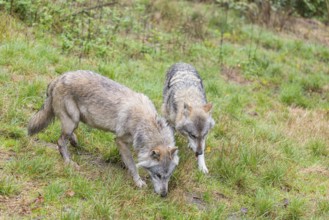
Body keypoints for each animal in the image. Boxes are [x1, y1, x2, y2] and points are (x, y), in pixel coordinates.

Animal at [26, 71, 178, 198]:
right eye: (158, 175)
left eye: (169, 176)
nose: (164, 195)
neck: (146, 123)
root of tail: (57, 79)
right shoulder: (120, 141)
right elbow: (133, 165)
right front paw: (138, 182)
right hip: (72, 121)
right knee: (60, 142)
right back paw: (69, 162)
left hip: (76, 121)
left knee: (68, 136)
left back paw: (75, 142)